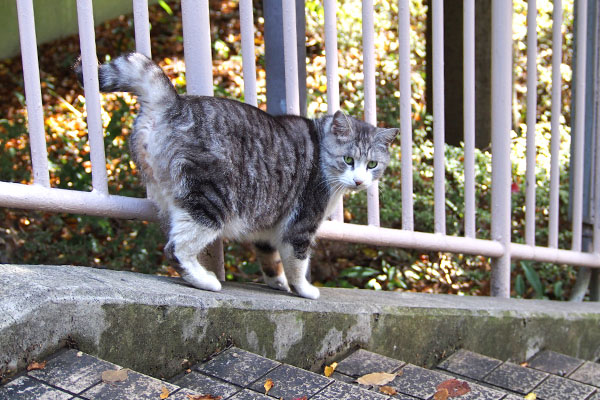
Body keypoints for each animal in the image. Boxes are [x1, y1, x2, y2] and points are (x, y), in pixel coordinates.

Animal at [77, 51, 396, 298]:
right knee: (176, 248)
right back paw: (206, 280)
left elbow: (271, 261)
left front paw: (277, 283)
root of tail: (173, 103)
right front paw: (304, 290)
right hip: (210, 201)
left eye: (372, 165)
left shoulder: (269, 228)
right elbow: (296, 264)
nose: (359, 181)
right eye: (348, 160)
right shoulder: (299, 226)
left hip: (169, 196)